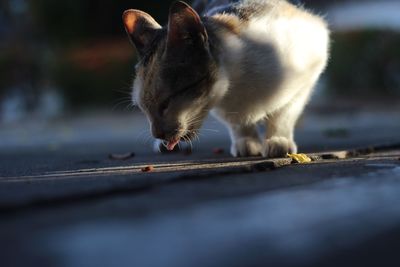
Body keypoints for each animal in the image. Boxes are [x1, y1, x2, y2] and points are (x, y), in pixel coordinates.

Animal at [122, 0, 328, 158]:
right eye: (143, 108)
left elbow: (284, 113)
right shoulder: (226, 108)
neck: (236, 82)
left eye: (166, 102)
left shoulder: (311, 67)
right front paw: (245, 140)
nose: (158, 134)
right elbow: (236, 122)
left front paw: (278, 140)